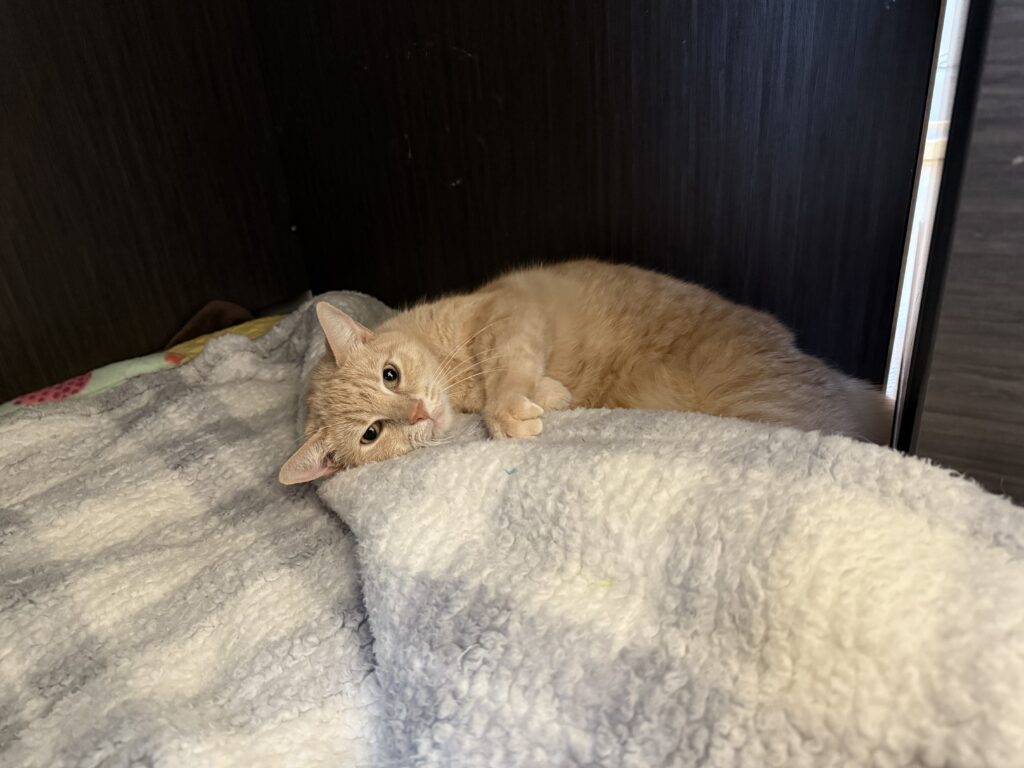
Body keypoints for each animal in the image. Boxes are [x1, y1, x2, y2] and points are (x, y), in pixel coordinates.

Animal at [280, 262, 888, 483]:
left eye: (391, 375)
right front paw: (548, 398)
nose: (418, 411)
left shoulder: (509, 312)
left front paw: (515, 408)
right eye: (372, 433)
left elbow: (512, 369)